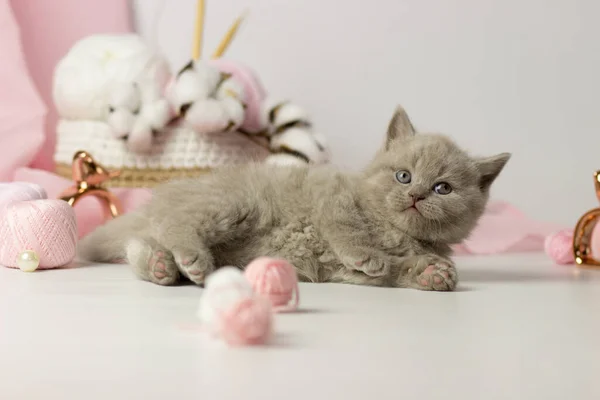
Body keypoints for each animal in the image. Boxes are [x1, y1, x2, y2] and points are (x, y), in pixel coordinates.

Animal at [78, 107, 510, 290]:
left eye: (443, 188)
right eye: (403, 176)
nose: (417, 194)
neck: (394, 231)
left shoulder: (354, 273)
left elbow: (390, 271)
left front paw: (432, 273)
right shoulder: (330, 193)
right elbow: (349, 230)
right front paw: (367, 253)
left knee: (141, 246)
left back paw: (161, 267)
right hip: (235, 204)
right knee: (178, 223)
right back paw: (188, 259)